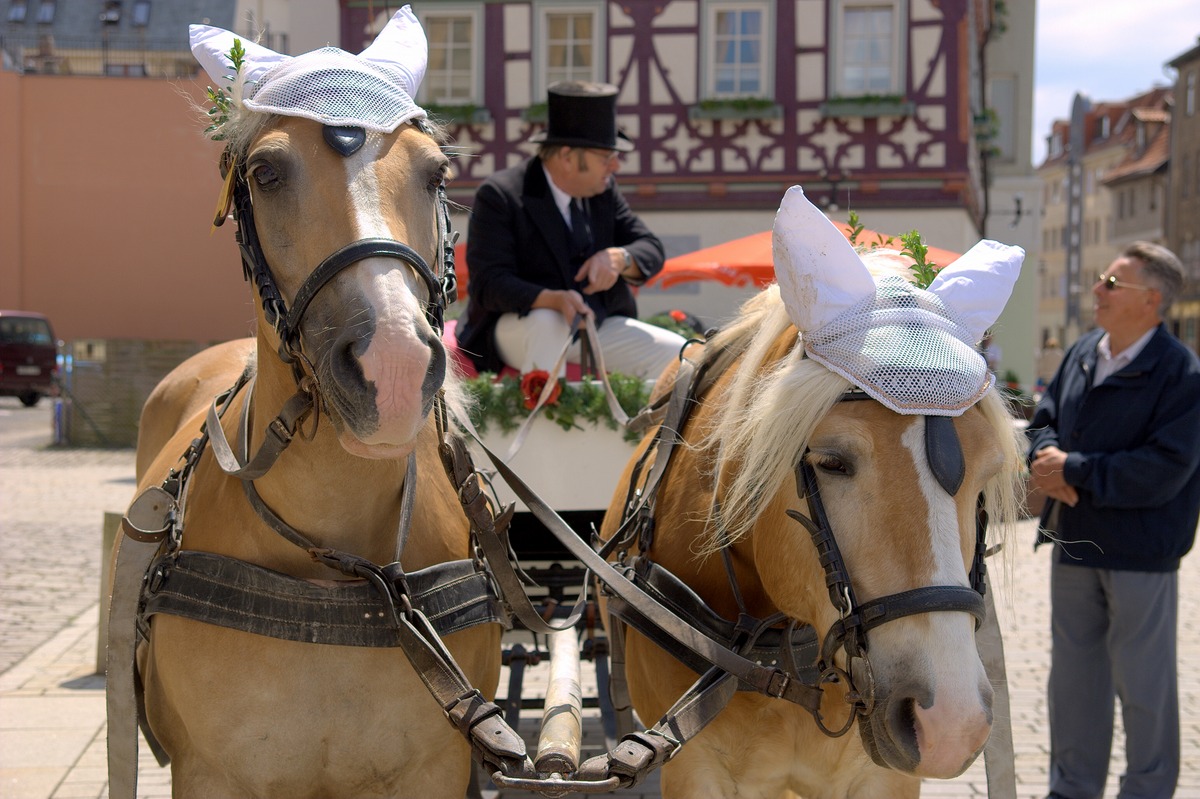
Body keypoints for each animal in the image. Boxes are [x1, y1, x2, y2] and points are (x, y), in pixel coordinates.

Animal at [111, 9, 501, 791]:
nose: (393, 366)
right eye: (266, 172)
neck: (337, 566)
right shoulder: (210, 773)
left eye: (436, 173)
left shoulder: (434, 770)